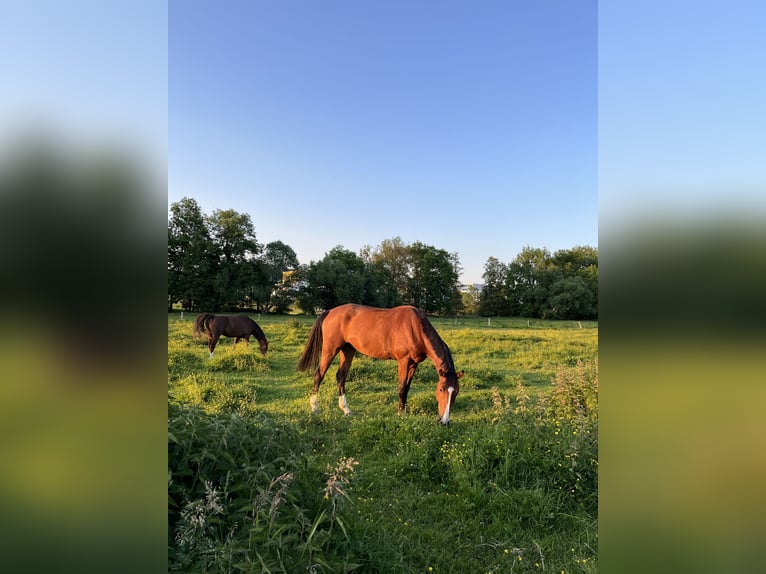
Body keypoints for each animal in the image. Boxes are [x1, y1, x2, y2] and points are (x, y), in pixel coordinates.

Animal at [296, 304, 462, 426]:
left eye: (456, 392)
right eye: (441, 389)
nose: (444, 421)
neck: (416, 328)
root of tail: (330, 311)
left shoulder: (414, 364)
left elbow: (407, 388)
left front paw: (404, 411)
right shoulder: (404, 361)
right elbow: (401, 388)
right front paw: (401, 414)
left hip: (348, 350)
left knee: (341, 376)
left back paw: (346, 410)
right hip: (330, 350)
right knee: (319, 374)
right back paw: (315, 408)